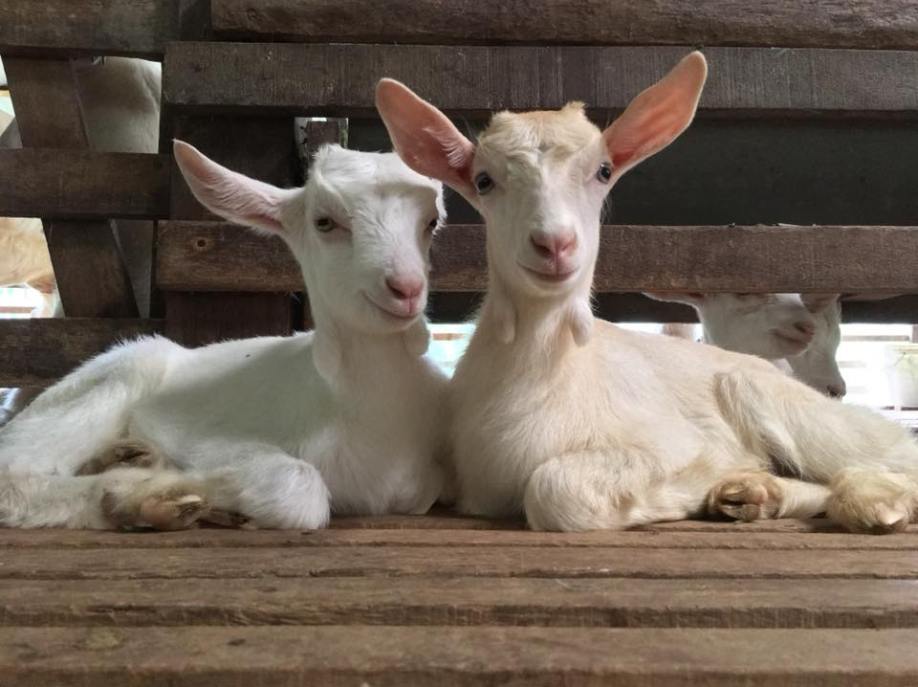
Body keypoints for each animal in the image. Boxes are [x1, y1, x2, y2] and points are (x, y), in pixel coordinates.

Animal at [0, 141, 447, 530]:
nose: (406, 288)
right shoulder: (207, 439)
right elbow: (298, 486)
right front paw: (158, 487)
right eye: (325, 222)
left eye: (431, 221)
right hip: (118, 376)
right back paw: (140, 497)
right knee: (13, 472)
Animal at [376, 52, 918, 534]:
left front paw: (696, 484)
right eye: (484, 181)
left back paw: (871, 500)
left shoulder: (666, 441)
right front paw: (732, 486)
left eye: (603, 171)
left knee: (893, 453)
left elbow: (555, 490)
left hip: (786, 405)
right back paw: (759, 494)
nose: (554, 243)